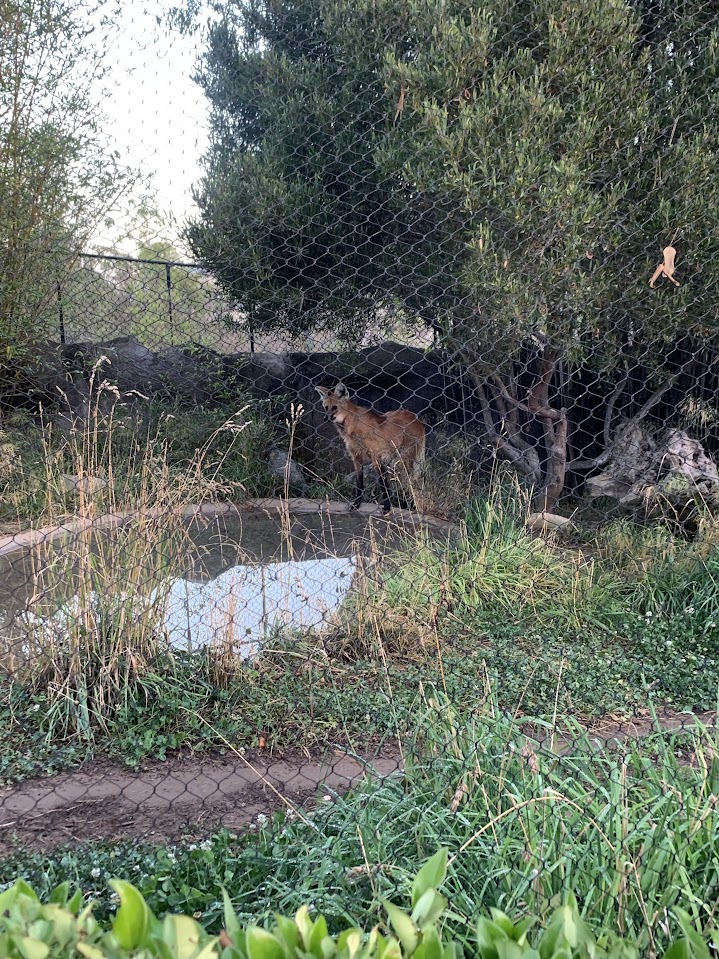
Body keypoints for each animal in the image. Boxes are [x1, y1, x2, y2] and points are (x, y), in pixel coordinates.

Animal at [316, 384, 428, 512]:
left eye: (334, 407)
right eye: (326, 407)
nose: (325, 418)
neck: (353, 425)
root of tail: (418, 420)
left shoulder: (375, 456)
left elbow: (383, 484)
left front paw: (387, 507)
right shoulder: (356, 457)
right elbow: (359, 483)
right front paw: (356, 504)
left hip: (404, 459)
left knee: (411, 482)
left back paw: (412, 506)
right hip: (396, 460)